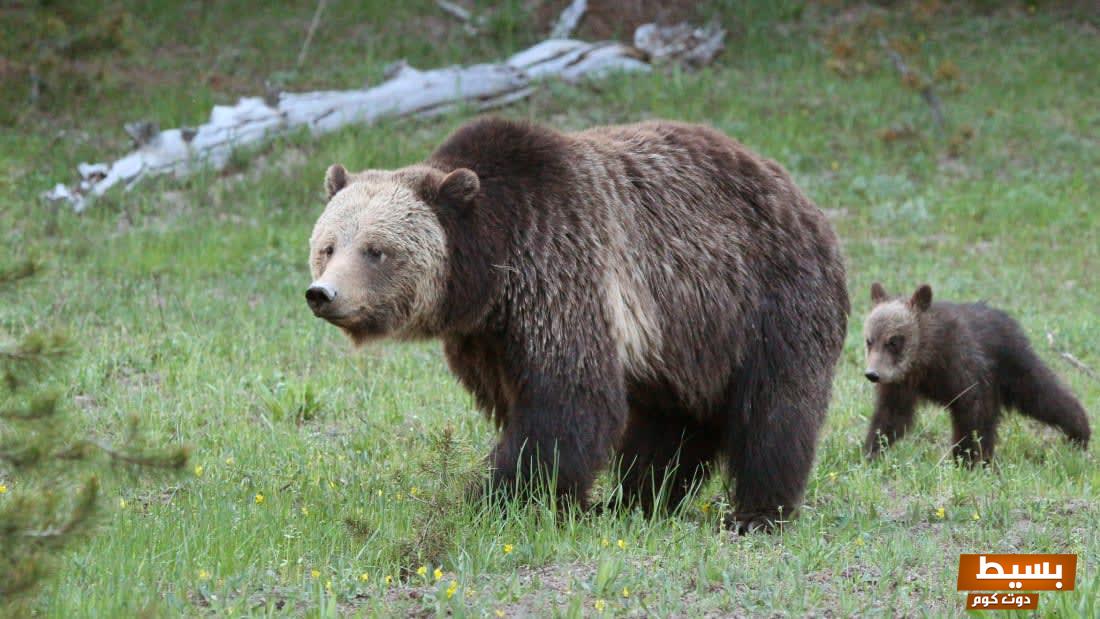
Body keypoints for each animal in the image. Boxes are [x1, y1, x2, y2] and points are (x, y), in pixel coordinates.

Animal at [310, 117, 849, 532]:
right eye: (329, 246)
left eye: (376, 250)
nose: (323, 294)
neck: (491, 271)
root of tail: (798, 194)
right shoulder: (487, 339)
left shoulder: (562, 273)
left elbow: (566, 401)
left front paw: (501, 499)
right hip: (685, 338)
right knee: (672, 421)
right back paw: (637, 500)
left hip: (765, 299)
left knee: (774, 412)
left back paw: (757, 513)